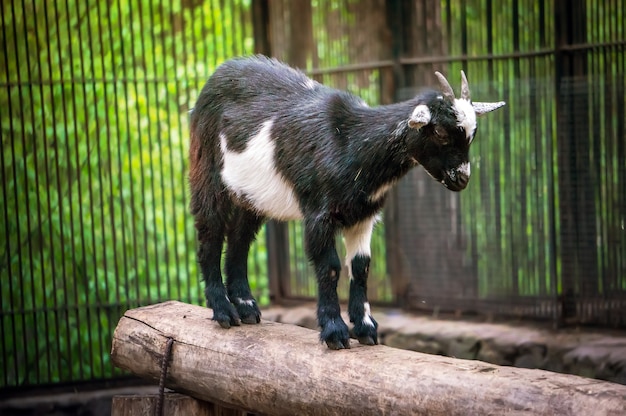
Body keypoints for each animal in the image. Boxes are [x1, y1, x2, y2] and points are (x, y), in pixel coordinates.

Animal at [188, 54, 504, 348]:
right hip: (207, 171)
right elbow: (330, 265)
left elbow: (361, 267)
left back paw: (246, 307)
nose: (461, 179)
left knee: (239, 239)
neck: (350, 142)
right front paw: (334, 332)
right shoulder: (319, 214)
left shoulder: (363, 216)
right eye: (439, 132)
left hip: (251, 195)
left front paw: (365, 328)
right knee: (210, 234)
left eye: (472, 135)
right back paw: (224, 312)